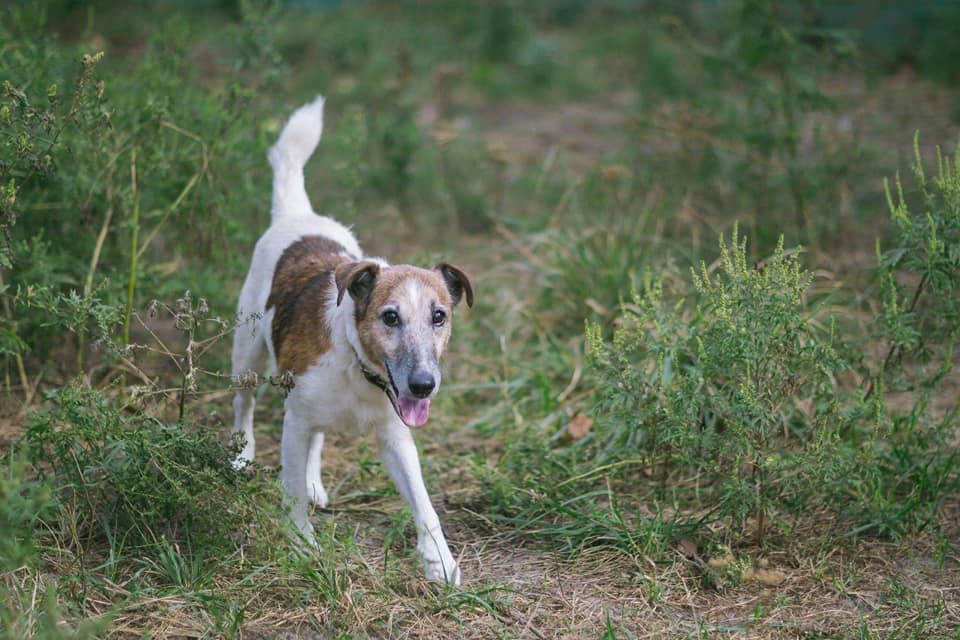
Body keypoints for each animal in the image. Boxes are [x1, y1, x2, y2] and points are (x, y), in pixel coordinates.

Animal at [232, 96, 472, 584]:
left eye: (439, 316)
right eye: (389, 317)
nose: (424, 385)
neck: (359, 368)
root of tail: (297, 214)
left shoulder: (397, 438)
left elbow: (424, 503)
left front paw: (439, 558)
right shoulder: (295, 419)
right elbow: (290, 495)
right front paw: (301, 545)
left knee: (317, 438)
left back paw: (312, 479)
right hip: (246, 353)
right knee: (243, 403)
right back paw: (243, 455)